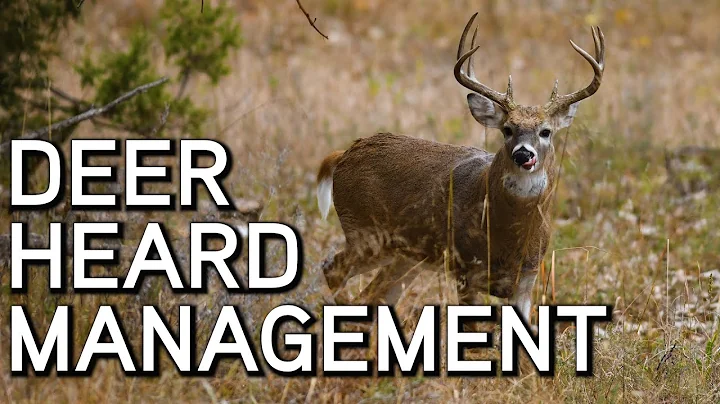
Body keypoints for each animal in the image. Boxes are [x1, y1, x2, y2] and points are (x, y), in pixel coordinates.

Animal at [316, 13, 605, 323]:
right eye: (507, 129)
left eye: (546, 132)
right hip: (365, 232)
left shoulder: (527, 277)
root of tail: (344, 153)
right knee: (332, 269)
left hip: (405, 254)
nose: (523, 155)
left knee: (373, 294)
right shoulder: (464, 268)